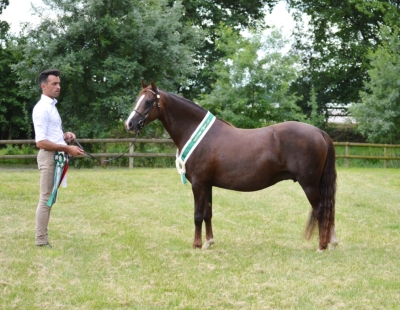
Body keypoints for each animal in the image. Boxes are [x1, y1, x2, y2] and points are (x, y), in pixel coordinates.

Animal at [125, 80, 338, 252]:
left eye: (149, 101)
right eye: (137, 99)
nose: (129, 124)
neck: (199, 135)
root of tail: (320, 132)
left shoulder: (198, 184)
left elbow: (197, 215)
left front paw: (196, 244)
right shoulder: (207, 184)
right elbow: (208, 213)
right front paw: (209, 242)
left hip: (309, 184)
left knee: (321, 209)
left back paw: (321, 246)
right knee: (328, 209)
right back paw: (331, 242)